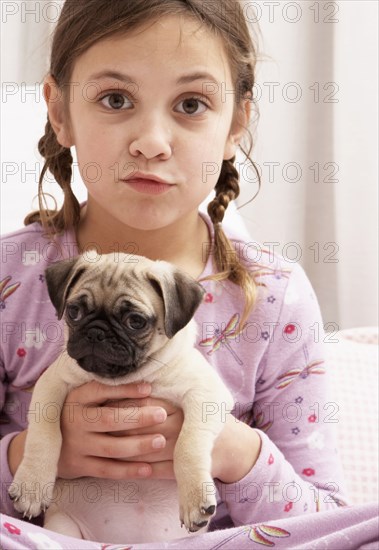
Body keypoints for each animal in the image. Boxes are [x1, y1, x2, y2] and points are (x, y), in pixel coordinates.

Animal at [8, 256, 235, 548]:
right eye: (74, 312)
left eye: (135, 322)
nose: (96, 333)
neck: (124, 378)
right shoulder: (51, 384)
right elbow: (43, 435)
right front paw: (32, 486)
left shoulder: (205, 392)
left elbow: (188, 444)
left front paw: (195, 497)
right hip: (64, 526)